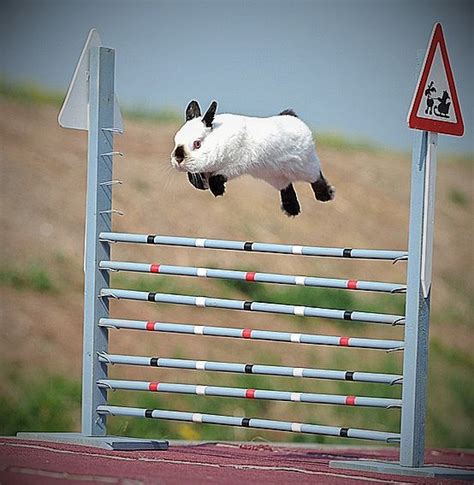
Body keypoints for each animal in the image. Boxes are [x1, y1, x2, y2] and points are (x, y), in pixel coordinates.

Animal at [170, 98, 334, 216]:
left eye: (197, 144)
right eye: (176, 140)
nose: (178, 159)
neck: (218, 137)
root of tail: (293, 118)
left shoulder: (235, 165)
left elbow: (216, 178)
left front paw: (218, 191)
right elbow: (197, 179)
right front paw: (202, 186)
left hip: (306, 166)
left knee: (317, 177)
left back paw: (326, 196)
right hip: (276, 177)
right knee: (287, 187)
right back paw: (292, 209)